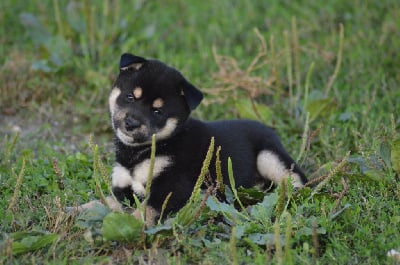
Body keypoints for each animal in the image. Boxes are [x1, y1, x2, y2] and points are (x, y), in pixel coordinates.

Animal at [108, 53, 306, 223]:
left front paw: (131, 223)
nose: (131, 123)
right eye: (130, 97)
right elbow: (110, 201)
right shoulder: (122, 186)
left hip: (269, 158)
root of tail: (270, 130)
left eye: (157, 112)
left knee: (297, 183)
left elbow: (146, 209)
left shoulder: (172, 188)